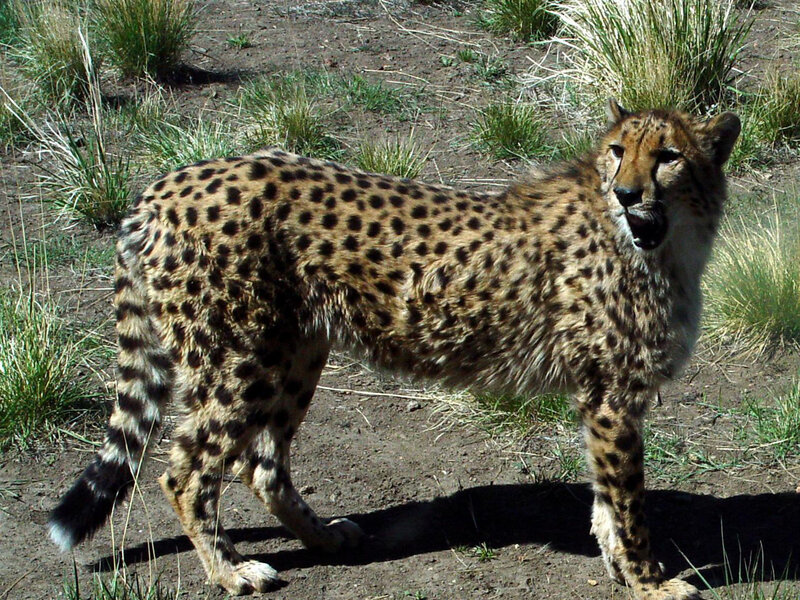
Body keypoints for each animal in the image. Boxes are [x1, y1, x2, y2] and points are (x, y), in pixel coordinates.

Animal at [49, 100, 740, 599]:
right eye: (618, 152)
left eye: (669, 156)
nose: (626, 192)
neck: (663, 243)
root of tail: (163, 185)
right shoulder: (614, 398)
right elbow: (628, 503)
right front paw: (650, 582)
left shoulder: (601, 397)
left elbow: (605, 500)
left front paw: (622, 569)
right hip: (239, 360)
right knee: (185, 470)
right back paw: (230, 571)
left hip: (295, 352)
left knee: (262, 464)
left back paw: (325, 537)